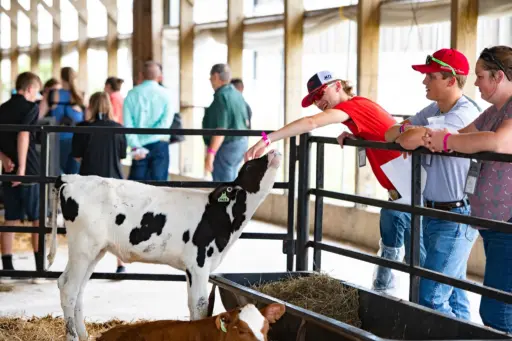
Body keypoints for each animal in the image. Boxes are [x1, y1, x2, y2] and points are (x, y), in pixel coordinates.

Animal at [46, 149, 282, 340]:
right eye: (250, 165)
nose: (273, 151)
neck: (220, 215)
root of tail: (72, 178)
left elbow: (194, 305)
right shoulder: (198, 264)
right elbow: (200, 306)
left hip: (96, 250)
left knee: (77, 289)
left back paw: (84, 335)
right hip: (83, 247)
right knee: (68, 287)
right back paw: (73, 336)